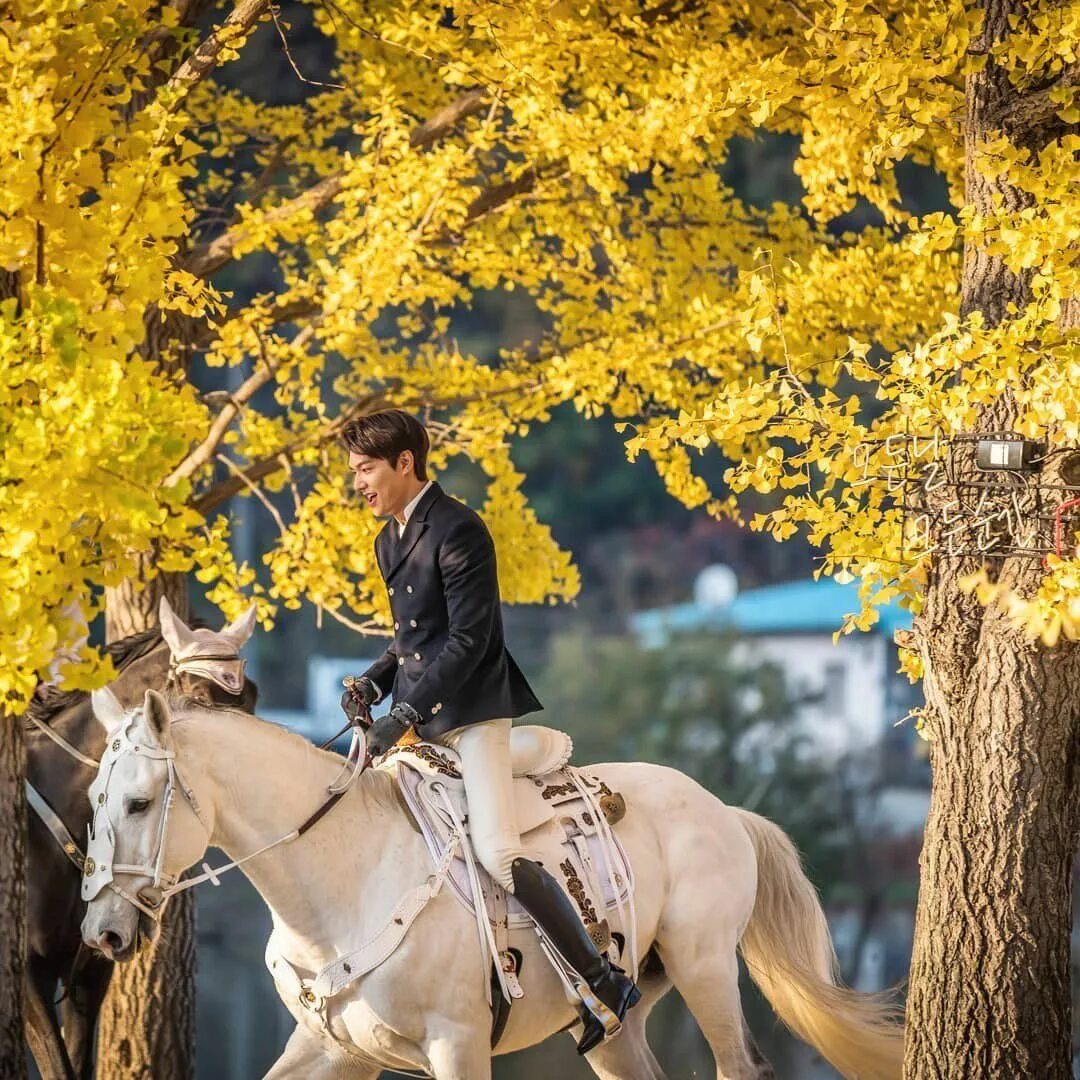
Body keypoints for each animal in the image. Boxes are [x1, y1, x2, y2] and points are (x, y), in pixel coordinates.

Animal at [82, 691, 902, 1080]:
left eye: (139, 803)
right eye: (94, 799)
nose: (102, 933)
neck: (342, 882)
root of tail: (722, 809)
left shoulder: (457, 1045)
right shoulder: (332, 1049)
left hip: (705, 969)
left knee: (743, 1066)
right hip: (619, 1024)